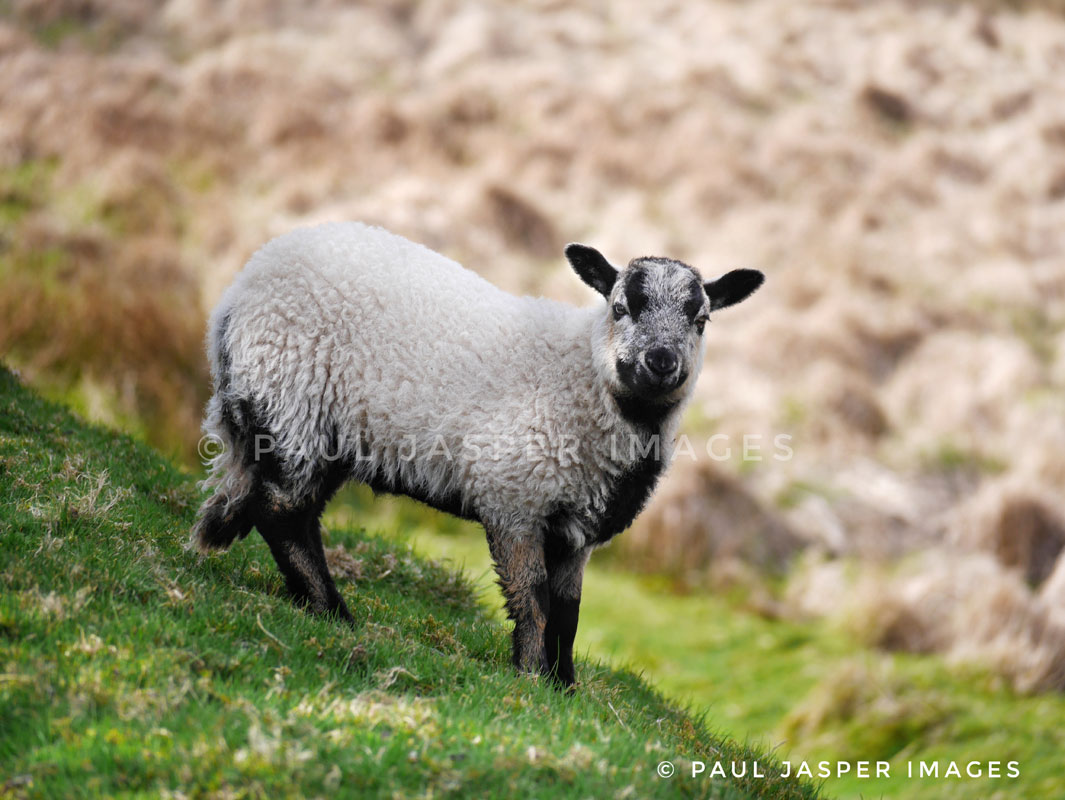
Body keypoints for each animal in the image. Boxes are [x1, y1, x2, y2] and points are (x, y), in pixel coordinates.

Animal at [192, 221, 763, 687]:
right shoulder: (514, 498)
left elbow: (570, 610)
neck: (583, 379)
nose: (661, 362)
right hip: (293, 401)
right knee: (283, 512)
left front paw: (565, 687)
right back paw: (332, 611)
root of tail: (238, 289)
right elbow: (532, 597)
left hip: (317, 427)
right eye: (621, 308)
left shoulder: (575, 528)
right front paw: (530, 677)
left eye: (701, 320)